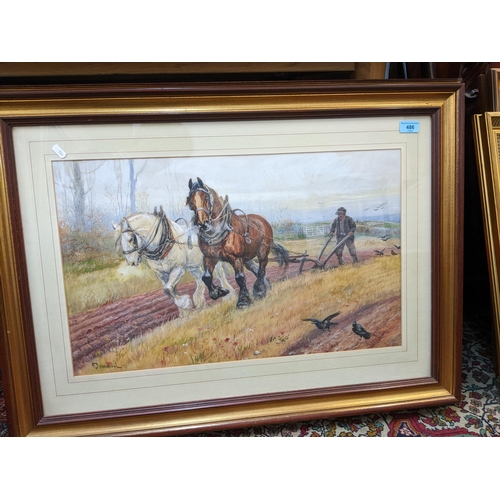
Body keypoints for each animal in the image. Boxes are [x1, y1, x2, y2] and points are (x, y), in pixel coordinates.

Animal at [188, 176, 290, 308]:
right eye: (190, 201)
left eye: (205, 197)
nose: (203, 223)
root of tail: (262, 220)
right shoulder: (209, 257)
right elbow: (206, 277)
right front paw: (218, 292)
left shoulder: (235, 258)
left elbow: (240, 278)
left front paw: (243, 301)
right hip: (246, 258)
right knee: (256, 269)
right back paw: (265, 287)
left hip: (262, 251)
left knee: (261, 269)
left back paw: (259, 290)